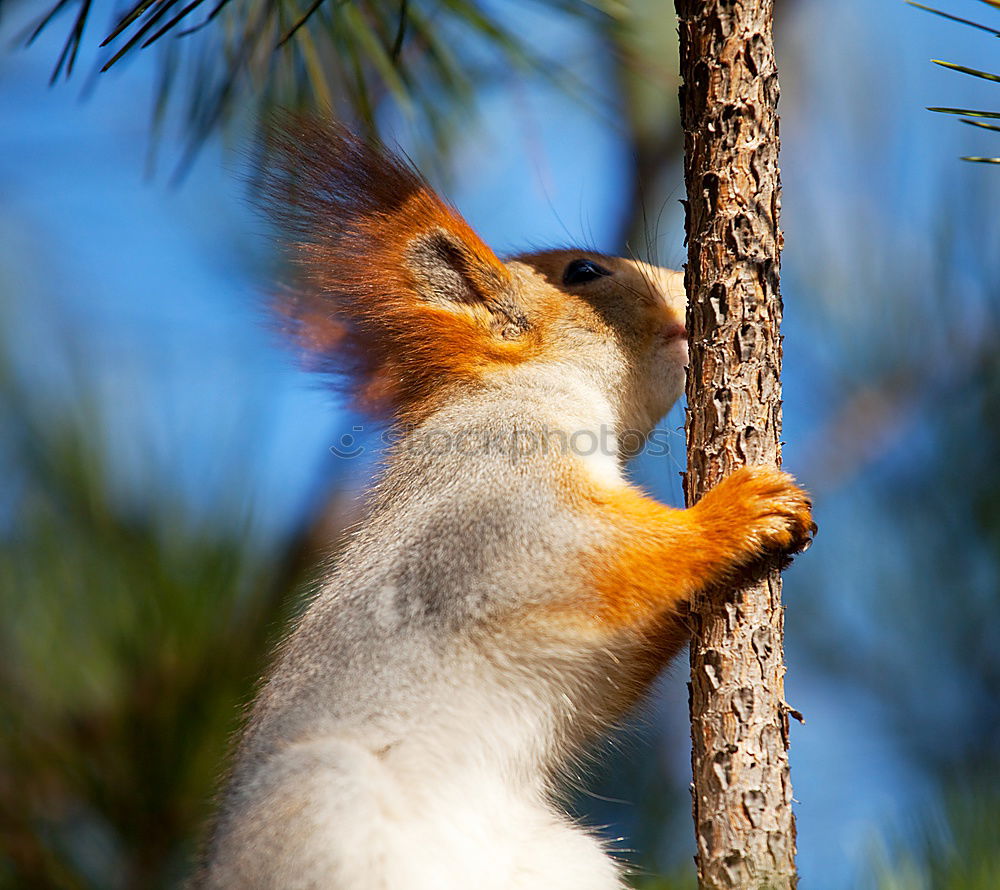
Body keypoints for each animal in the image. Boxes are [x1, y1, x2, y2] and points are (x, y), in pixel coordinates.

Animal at [195, 119, 812, 888]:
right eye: (584, 272)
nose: (685, 290)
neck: (521, 392)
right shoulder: (499, 508)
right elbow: (584, 554)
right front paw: (732, 516)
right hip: (322, 803)